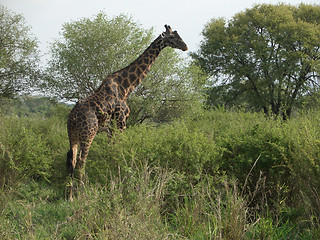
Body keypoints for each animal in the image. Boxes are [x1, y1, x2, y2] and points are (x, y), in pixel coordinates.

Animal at [67, 24, 188, 201]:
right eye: (172, 37)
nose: (185, 46)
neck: (126, 87)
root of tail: (73, 117)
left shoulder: (111, 128)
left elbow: (112, 151)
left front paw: (111, 179)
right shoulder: (121, 122)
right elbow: (120, 151)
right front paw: (120, 182)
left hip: (73, 135)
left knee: (72, 160)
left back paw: (69, 196)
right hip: (88, 133)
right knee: (82, 161)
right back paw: (80, 195)